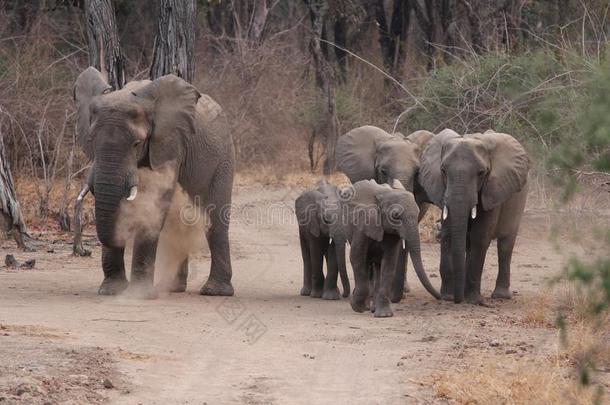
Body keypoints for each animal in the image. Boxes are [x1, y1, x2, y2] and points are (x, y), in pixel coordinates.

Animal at [71, 67, 233, 296]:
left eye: (137, 143)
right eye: (91, 141)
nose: (82, 249)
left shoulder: (171, 142)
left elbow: (154, 206)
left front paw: (138, 295)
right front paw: (111, 291)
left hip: (223, 158)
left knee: (215, 220)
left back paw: (214, 291)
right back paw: (174, 288)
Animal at [418, 129, 528, 304]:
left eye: (481, 173)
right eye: (443, 171)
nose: (456, 300)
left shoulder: (493, 190)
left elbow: (480, 237)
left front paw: (472, 301)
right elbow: (449, 235)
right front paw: (448, 297)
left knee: (505, 245)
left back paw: (500, 296)